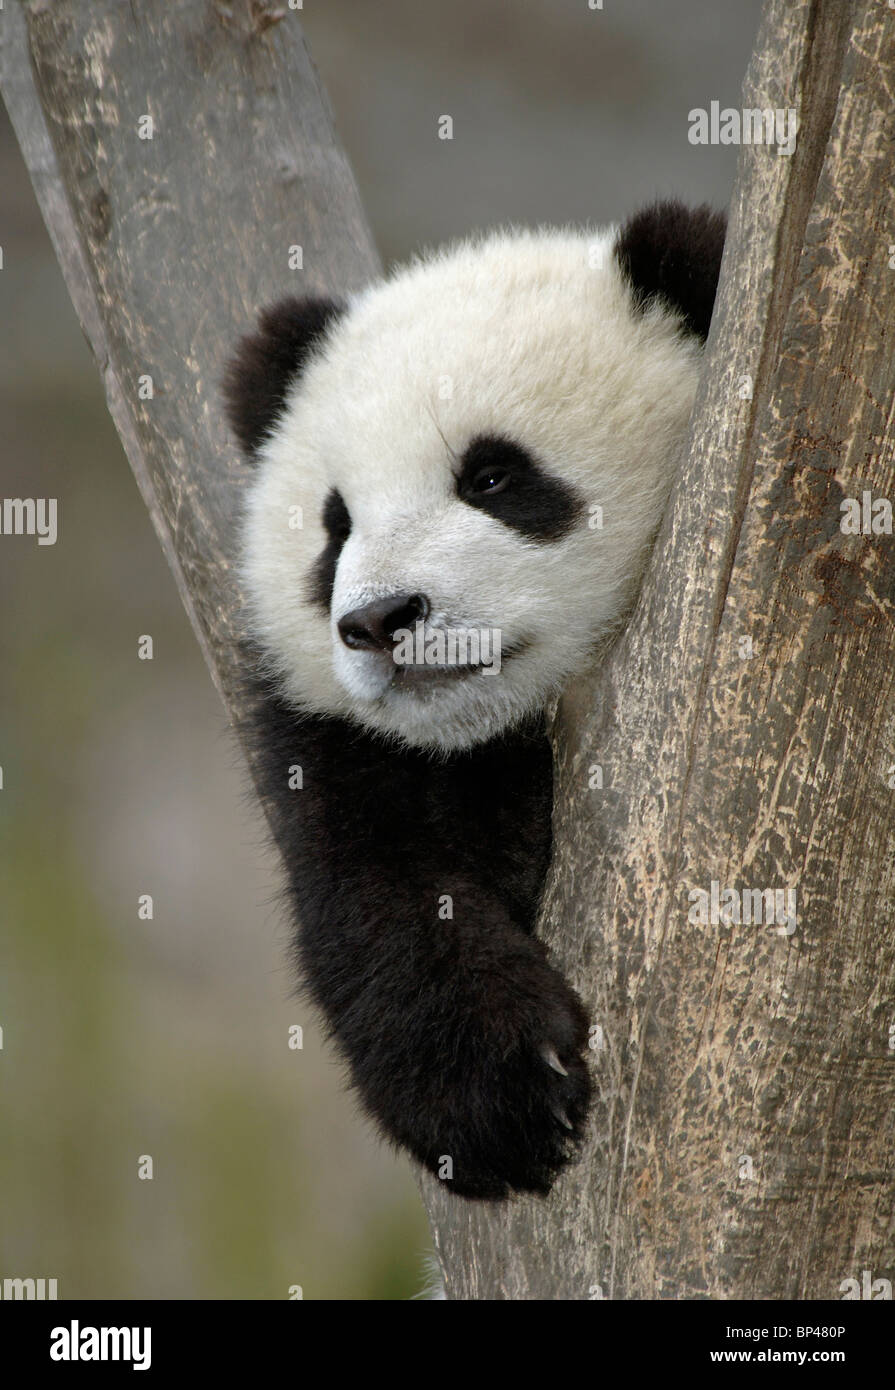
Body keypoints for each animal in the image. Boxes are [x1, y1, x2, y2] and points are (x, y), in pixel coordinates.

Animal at [224, 200, 726, 1201]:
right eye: (335, 525)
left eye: (491, 477)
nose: (380, 620)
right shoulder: (340, 744)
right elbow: (373, 890)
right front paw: (495, 1100)